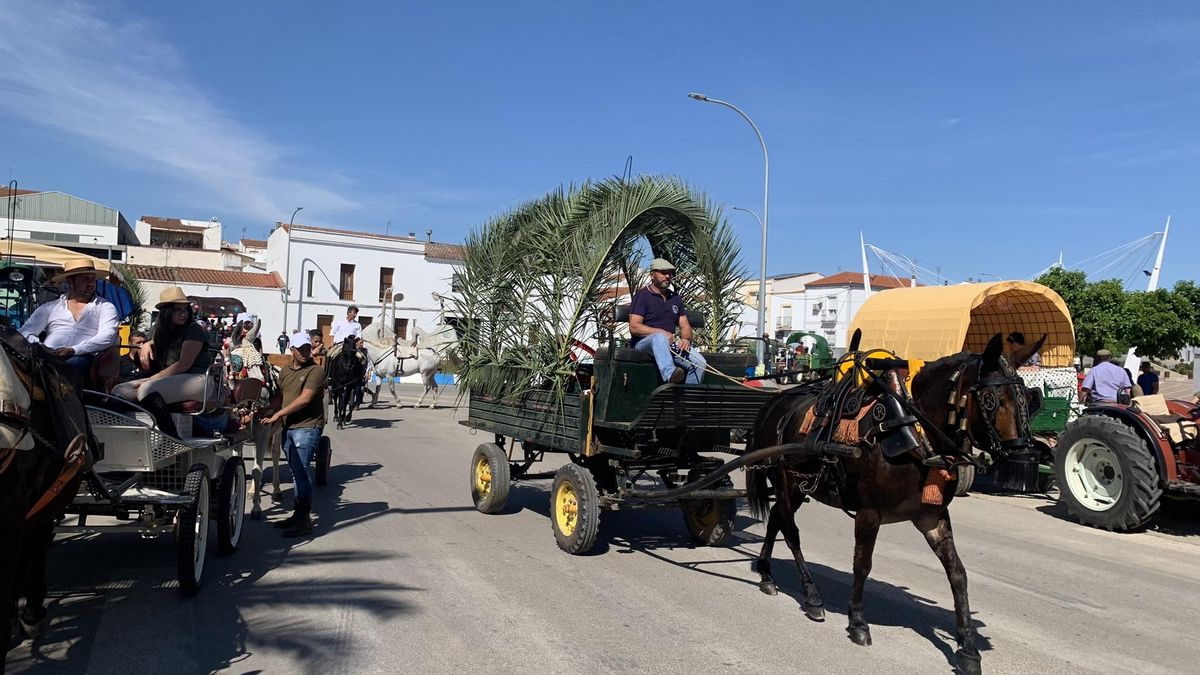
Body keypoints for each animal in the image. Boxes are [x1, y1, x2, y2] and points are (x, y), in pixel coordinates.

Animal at [744, 331, 1046, 672]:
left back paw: (766, 574)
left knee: (776, 519)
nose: (1024, 456)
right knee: (791, 533)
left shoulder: (932, 516)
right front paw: (858, 621)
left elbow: (958, 573)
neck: (911, 429)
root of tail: (776, 401)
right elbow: (862, 565)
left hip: (796, 487)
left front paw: (967, 646)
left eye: (1029, 398)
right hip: (786, 481)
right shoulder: (869, 512)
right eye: (991, 399)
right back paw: (811, 596)